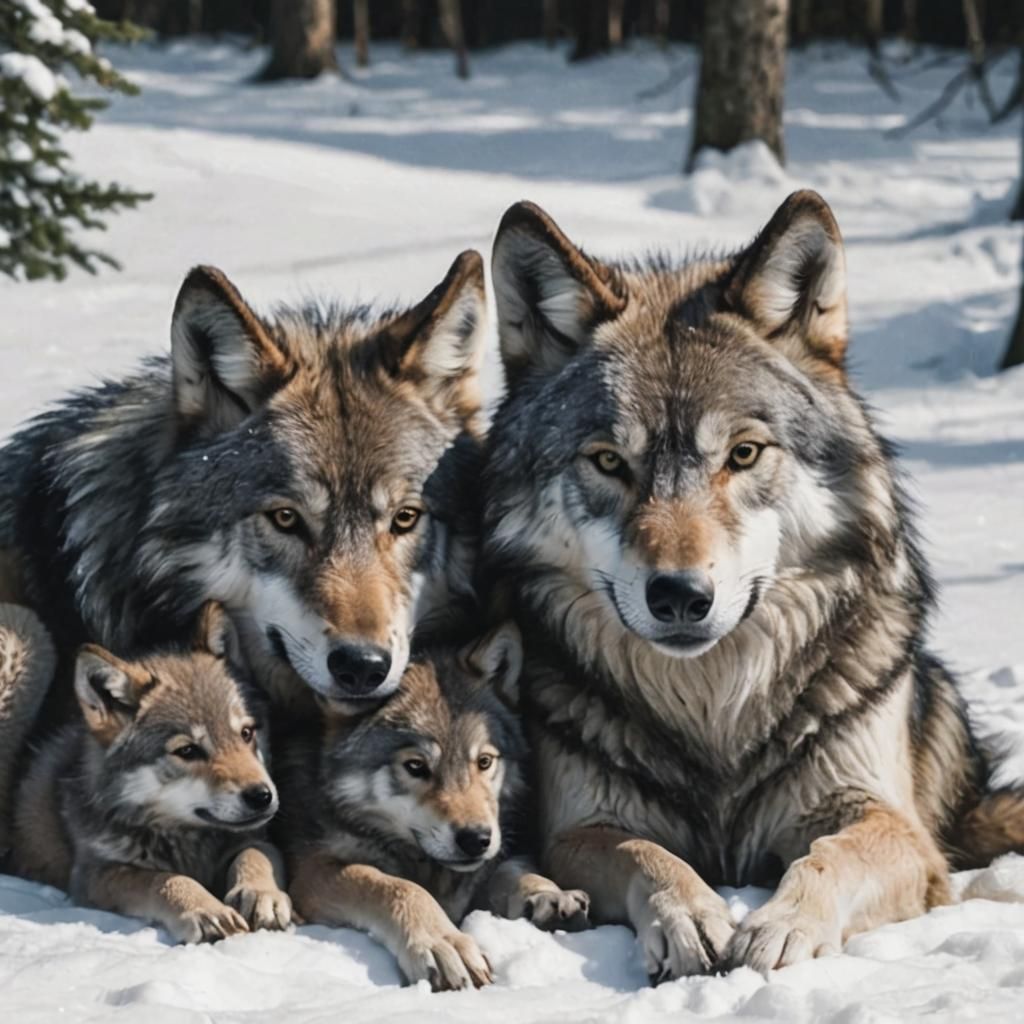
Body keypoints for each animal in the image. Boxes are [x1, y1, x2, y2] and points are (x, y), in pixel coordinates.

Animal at [6, 601, 292, 942]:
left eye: (246, 734)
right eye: (187, 751)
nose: (262, 796)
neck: (182, 837)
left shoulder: (253, 839)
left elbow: (255, 855)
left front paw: (262, 895)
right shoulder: (95, 875)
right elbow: (163, 879)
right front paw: (204, 909)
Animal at [279, 623, 590, 990]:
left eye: (484, 762)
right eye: (416, 767)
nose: (477, 839)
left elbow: (510, 870)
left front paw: (548, 893)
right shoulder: (312, 870)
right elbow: (396, 886)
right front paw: (443, 942)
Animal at [481, 191, 1024, 978]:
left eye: (742, 454)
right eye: (610, 462)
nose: (680, 595)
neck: (715, 714)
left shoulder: (886, 819)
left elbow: (830, 856)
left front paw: (783, 925)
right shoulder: (581, 826)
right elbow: (648, 854)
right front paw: (692, 916)